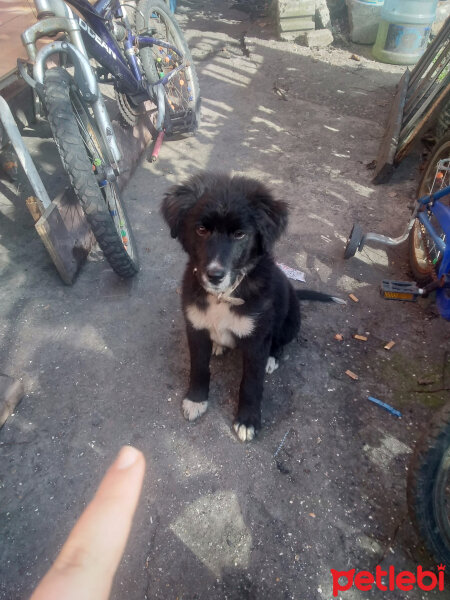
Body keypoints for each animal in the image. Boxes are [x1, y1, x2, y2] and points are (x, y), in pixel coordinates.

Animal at [163, 171, 342, 442]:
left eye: (240, 234)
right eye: (201, 229)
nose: (214, 276)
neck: (224, 296)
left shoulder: (257, 340)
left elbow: (251, 383)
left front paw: (247, 421)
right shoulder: (195, 327)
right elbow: (198, 367)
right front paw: (196, 400)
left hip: (289, 322)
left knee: (280, 344)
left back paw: (272, 359)